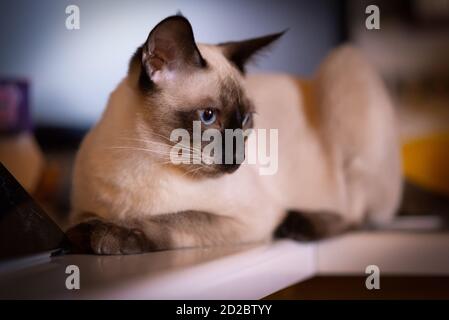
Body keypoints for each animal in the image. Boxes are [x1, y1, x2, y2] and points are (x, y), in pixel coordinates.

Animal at [67, 15, 402, 255]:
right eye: (208, 116)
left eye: (247, 119)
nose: (237, 161)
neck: (147, 154)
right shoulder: (80, 210)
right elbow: (84, 223)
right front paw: (82, 237)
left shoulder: (249, 219)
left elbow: (172, 218)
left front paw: (107, 236)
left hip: (344, 66)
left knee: (357, 216)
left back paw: (297, 225)